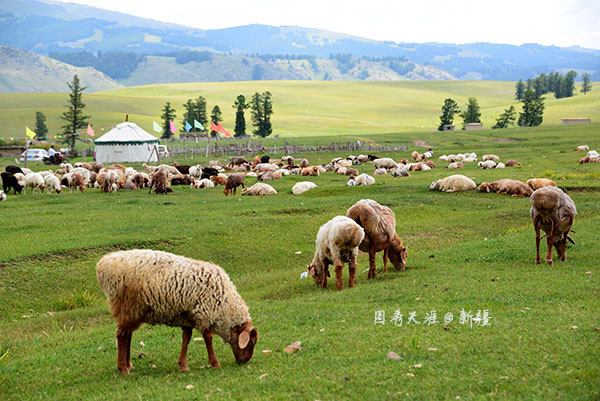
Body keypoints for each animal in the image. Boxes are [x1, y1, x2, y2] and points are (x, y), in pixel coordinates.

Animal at [96, 248, 258, 374]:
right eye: (252, 342)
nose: (244, 361)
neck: (226, 306)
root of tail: (103, 264)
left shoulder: (188, 315)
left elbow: (186, 338)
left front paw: (183, 365)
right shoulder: (204, 312)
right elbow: (208, 338)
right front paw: (215, 363)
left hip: (132, 311)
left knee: (127, 334)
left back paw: (129, 365)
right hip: (127, 307)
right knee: (121, 336)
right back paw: (123, 369)